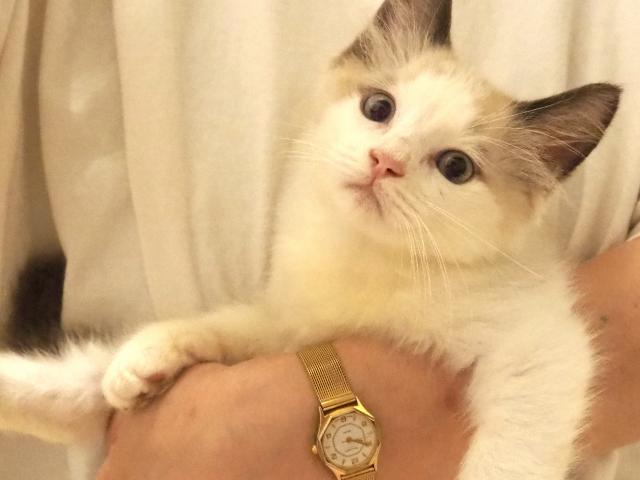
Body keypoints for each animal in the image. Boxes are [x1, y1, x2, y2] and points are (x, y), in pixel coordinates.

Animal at [0, 0, 621, 478]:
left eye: (456, 167)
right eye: (379, 108)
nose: (384, 161)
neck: (366, 260)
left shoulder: (537, 345)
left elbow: (514, 447)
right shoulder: (289, 324)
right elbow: (227, 324)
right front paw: (145, 356)